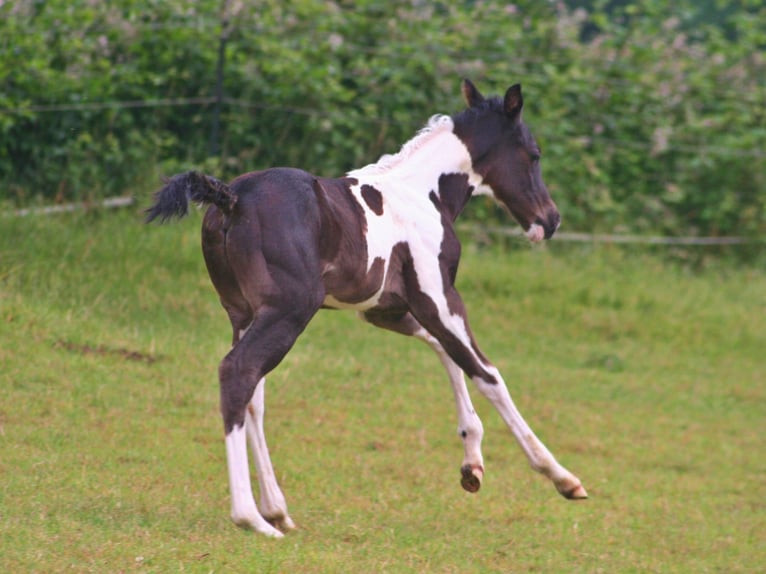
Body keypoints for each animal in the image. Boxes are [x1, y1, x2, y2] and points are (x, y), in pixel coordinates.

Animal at [147, 81, 584, 540]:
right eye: (533, 154)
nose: (550, 220)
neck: (423, 192)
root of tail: (231, 199)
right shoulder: (438, 297)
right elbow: (487, 374)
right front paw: (561, 477)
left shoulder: (384, 309)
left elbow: (445, 351)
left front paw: (472, 462)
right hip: (290, 310)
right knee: (238, 373)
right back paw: (251, 516)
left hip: (243, 313)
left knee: (253, 395)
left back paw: (277, 509)